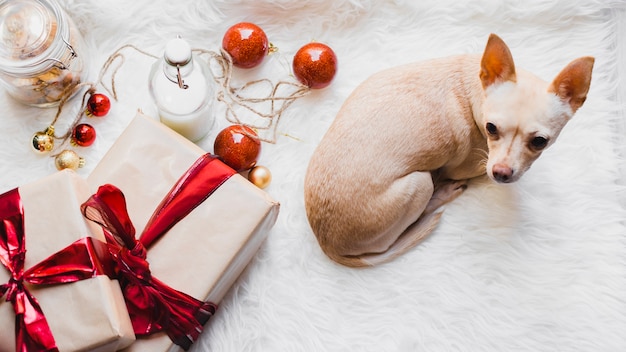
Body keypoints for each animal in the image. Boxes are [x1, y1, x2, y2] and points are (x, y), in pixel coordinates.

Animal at [304, 34, 592, 268]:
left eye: (540, 141)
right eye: (490, 128)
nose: (500, 173)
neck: (476, 90)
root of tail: (327, 243)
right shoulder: (475, 166)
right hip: (420, 182)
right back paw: (442, 193)